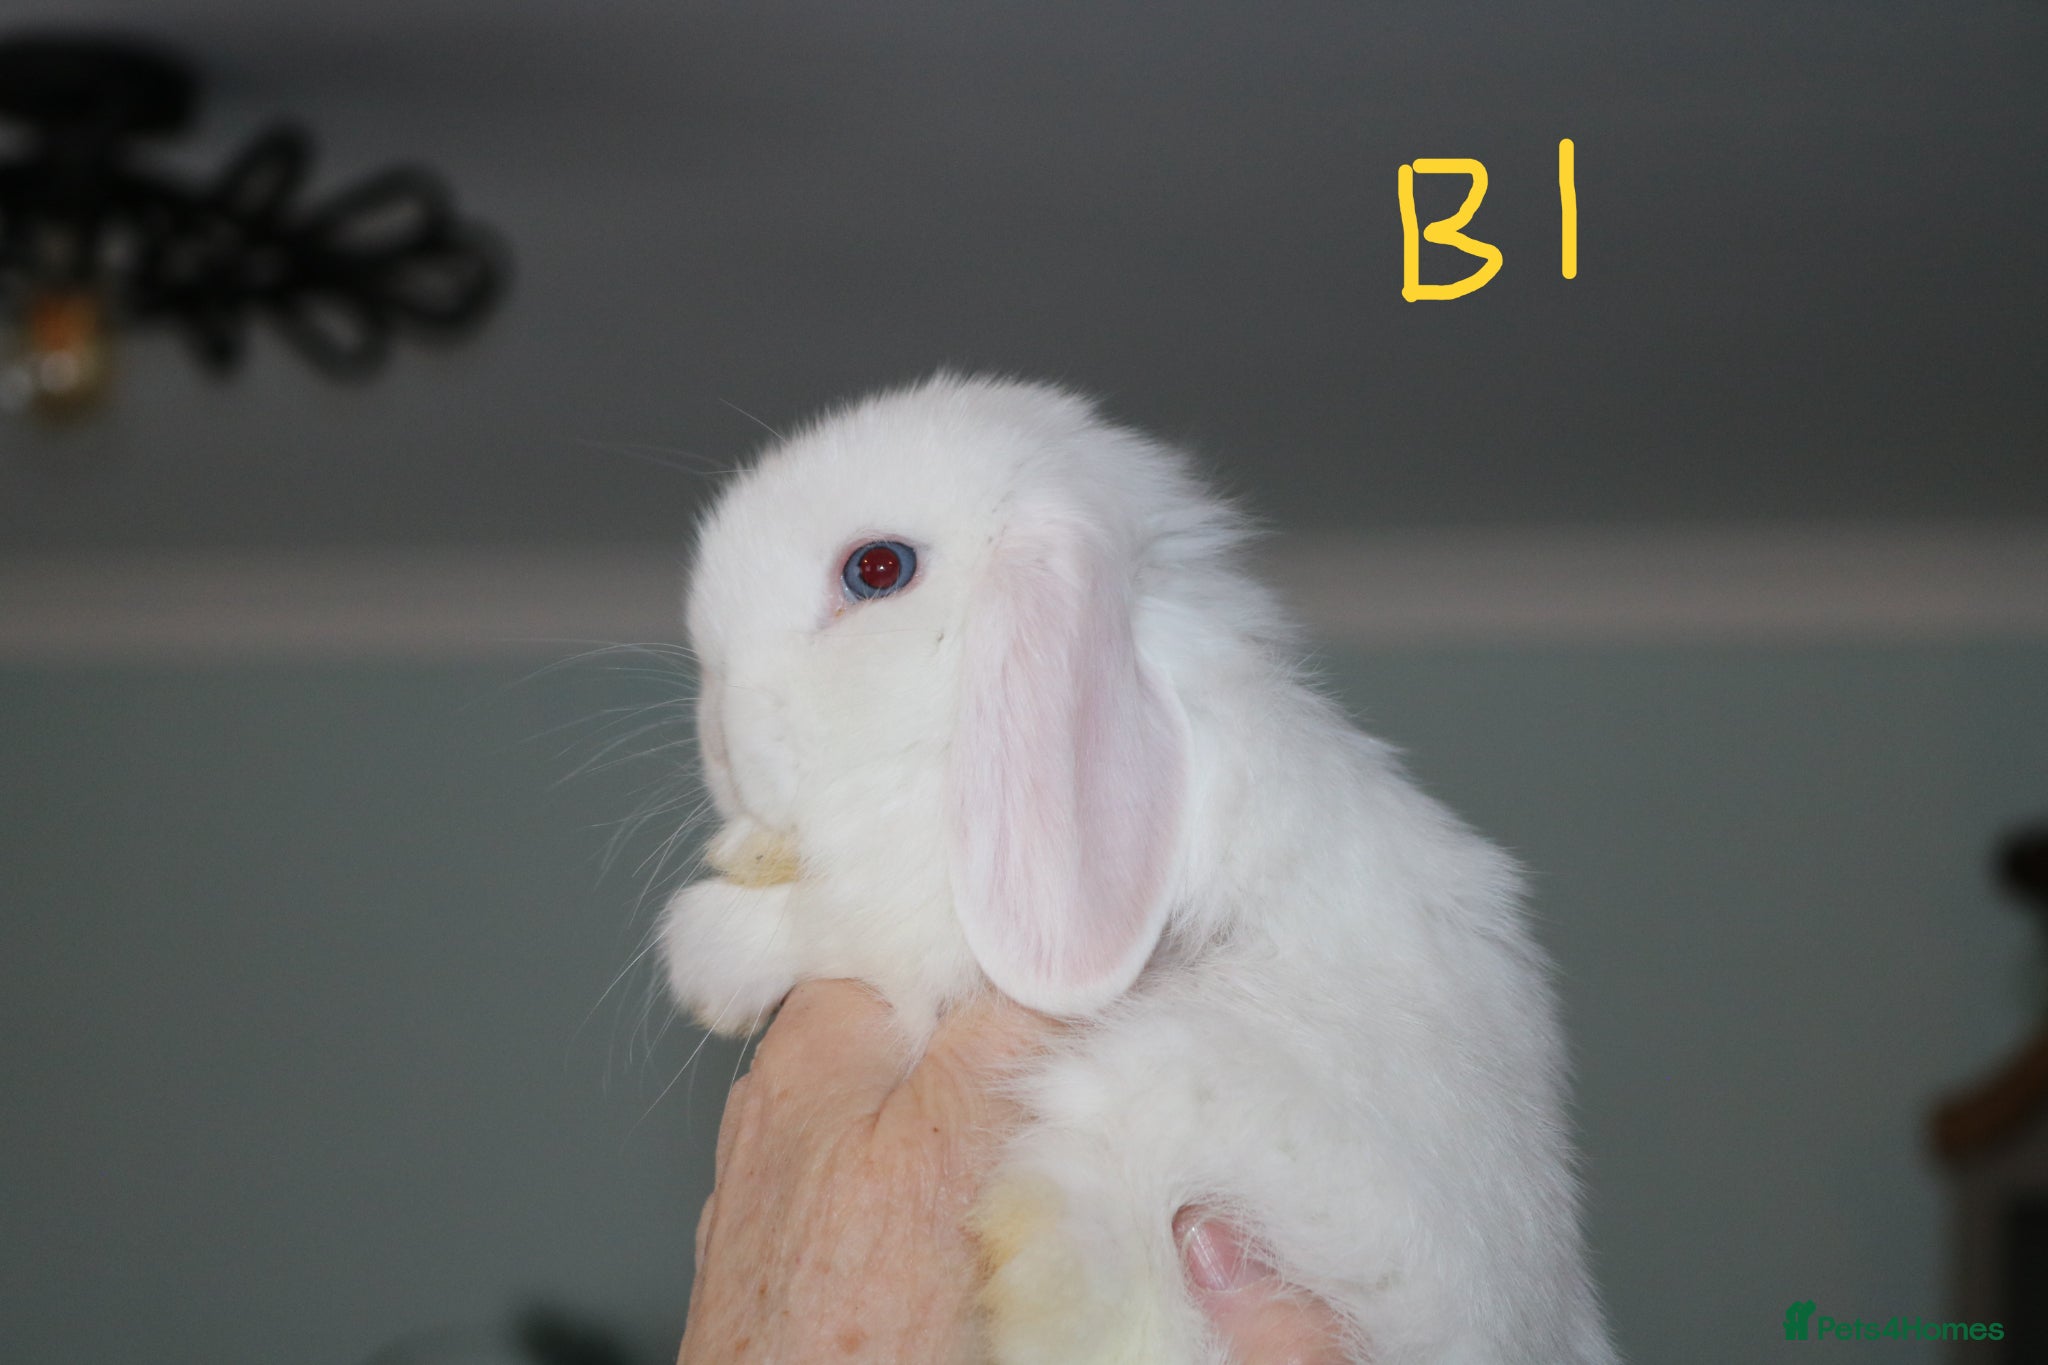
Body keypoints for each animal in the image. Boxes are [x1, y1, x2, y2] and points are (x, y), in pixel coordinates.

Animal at [657, 372, 1617, 1365]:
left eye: (878, 569)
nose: (718, 739)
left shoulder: (932, 926)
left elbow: (843, 923)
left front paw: (704, 949)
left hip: (1167, 1084)